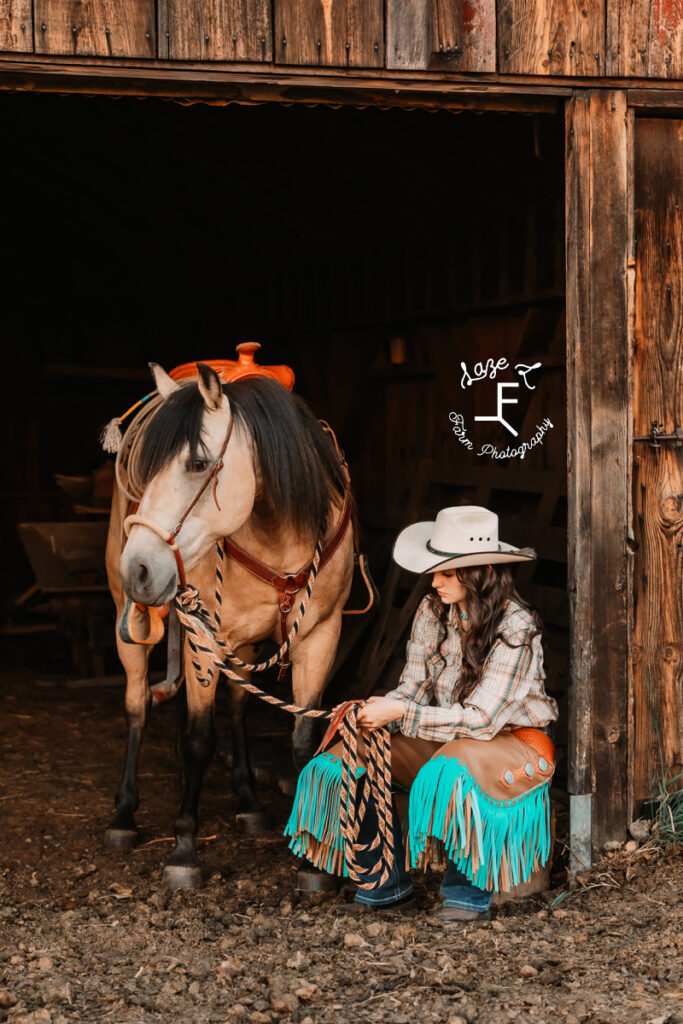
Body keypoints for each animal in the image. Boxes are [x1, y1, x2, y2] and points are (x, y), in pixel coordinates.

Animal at [105, 358, 358, 888]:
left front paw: (310, 859)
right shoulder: (202, 640)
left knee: (239, 706)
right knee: (137, 705)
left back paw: (249, 801)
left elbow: (304, 741)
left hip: (247, 645)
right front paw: (183, 848)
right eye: (145, 468)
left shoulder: (322, 636)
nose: (137, 568)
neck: (280, 536)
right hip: (133, 625)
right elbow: (199, 739)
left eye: (199, 464)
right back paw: (123, 815)